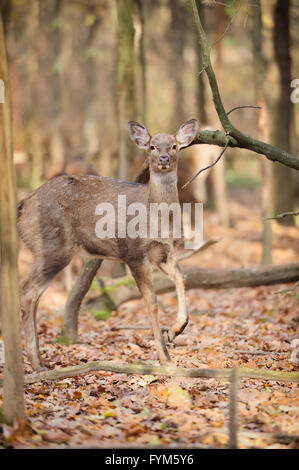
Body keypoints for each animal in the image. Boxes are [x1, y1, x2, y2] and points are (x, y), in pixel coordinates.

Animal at [18, 119, 199, 372]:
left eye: (174, 146)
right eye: (152, 146)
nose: (163, 158)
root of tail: (22, 208)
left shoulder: (164, 253)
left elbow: (182, 278)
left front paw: (175, 331)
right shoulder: (133, 253)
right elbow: (151, 302)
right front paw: (165, 357)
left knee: (34, 295)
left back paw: (40, 360)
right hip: (52, 246)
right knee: (27, 290)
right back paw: (36, 363)